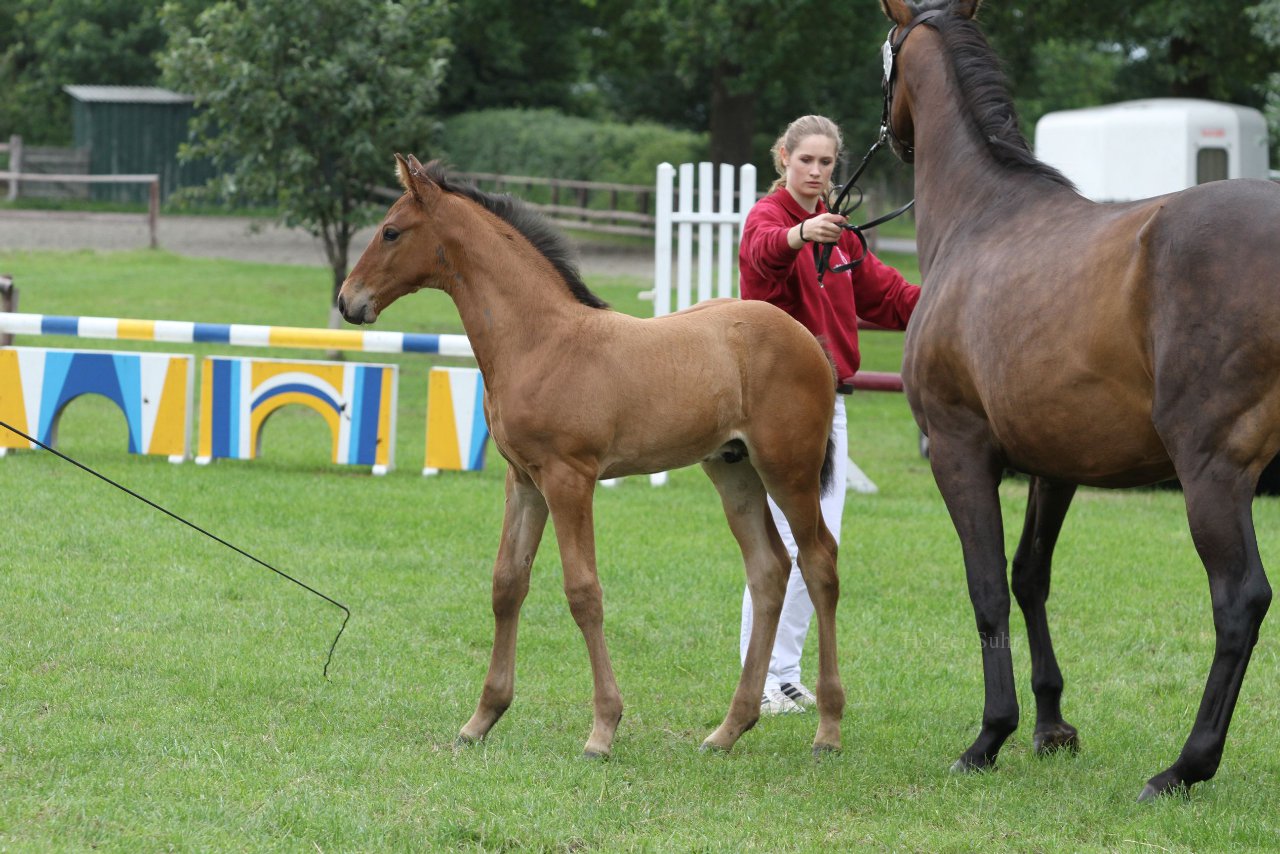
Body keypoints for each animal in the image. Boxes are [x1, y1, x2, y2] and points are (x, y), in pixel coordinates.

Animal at [337, 156, 849, 757]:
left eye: (391, 231)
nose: (348, 300)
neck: (540, 340)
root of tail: (808, 339)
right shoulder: (523, 481)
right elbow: (507, 584)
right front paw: (482, 719)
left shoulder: (569, 479)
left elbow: (584, 593)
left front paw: (603, 729)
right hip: (734, 470)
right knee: (769, 569)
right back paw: (728, 729)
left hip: (789, 470)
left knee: (819, 563)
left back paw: (828, 729)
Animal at [885, 0, 1274, 804]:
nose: (892, 138)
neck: (982, 217)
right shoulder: (1054, 463)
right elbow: (1030, 576)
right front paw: (1051, 725)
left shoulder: (959, 450)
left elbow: (987, 587)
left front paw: (990, 736)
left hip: (1213, 474)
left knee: (1238, 602)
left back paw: (1185, 766)